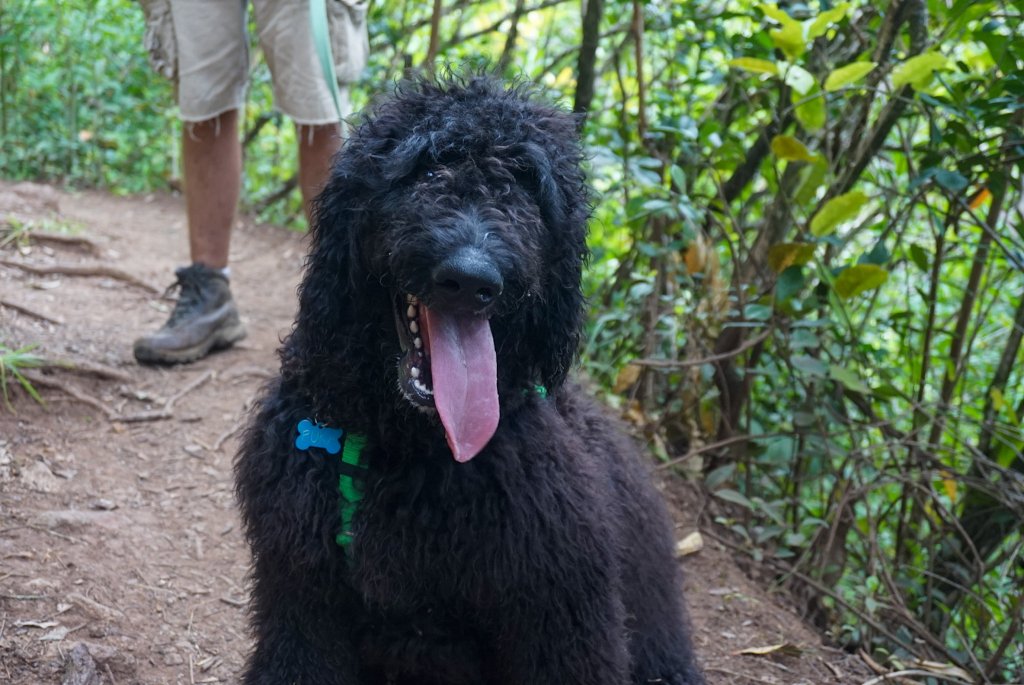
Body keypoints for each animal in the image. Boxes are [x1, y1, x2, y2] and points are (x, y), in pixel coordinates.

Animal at [235, 76, 704, 683]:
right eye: (428, 170)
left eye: (526, 186)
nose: (471, 277)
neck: (406, 445)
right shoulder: (301, 598)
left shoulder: (564, 617)